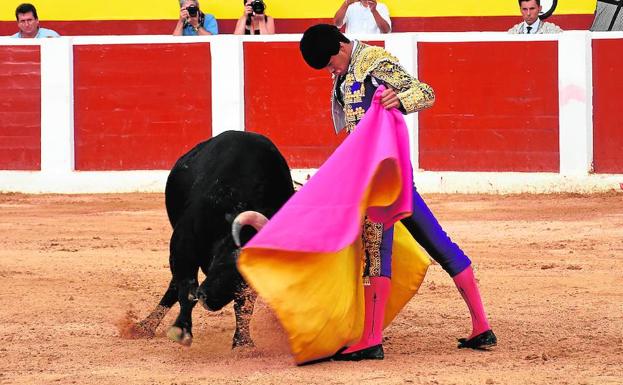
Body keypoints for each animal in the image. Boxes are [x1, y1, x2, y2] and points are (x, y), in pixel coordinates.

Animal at [134, 130, 294, 346]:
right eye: (225, 263)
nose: (206, 299)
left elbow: (244, 305)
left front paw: (243, 343)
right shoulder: (183, 246)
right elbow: (187, 289)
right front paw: (181, 330)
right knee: (175, 285)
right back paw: (144, 326)